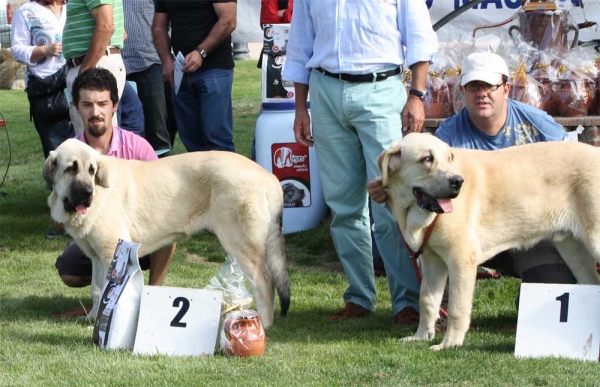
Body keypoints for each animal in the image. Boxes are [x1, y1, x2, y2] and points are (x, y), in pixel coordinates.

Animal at [42, 139, 290, 328]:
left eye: (91, 170)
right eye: (71, 169)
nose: (88, 192)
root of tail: (268, 177)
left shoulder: (111, 251)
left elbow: (105, 290)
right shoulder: (96, 257)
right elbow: (96, 289)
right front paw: (93, 316)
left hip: (239, 243)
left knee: (265, 283)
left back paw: (264, 323)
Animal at [378, 133, 600, 352]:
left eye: (448, 158)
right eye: (427, 159)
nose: (458, 181)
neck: (415, 212)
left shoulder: (461, 258)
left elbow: (457, 307)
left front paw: (450, 343)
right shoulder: (432, 261)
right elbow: (427, 301)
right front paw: (421, 336)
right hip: (574, 251)